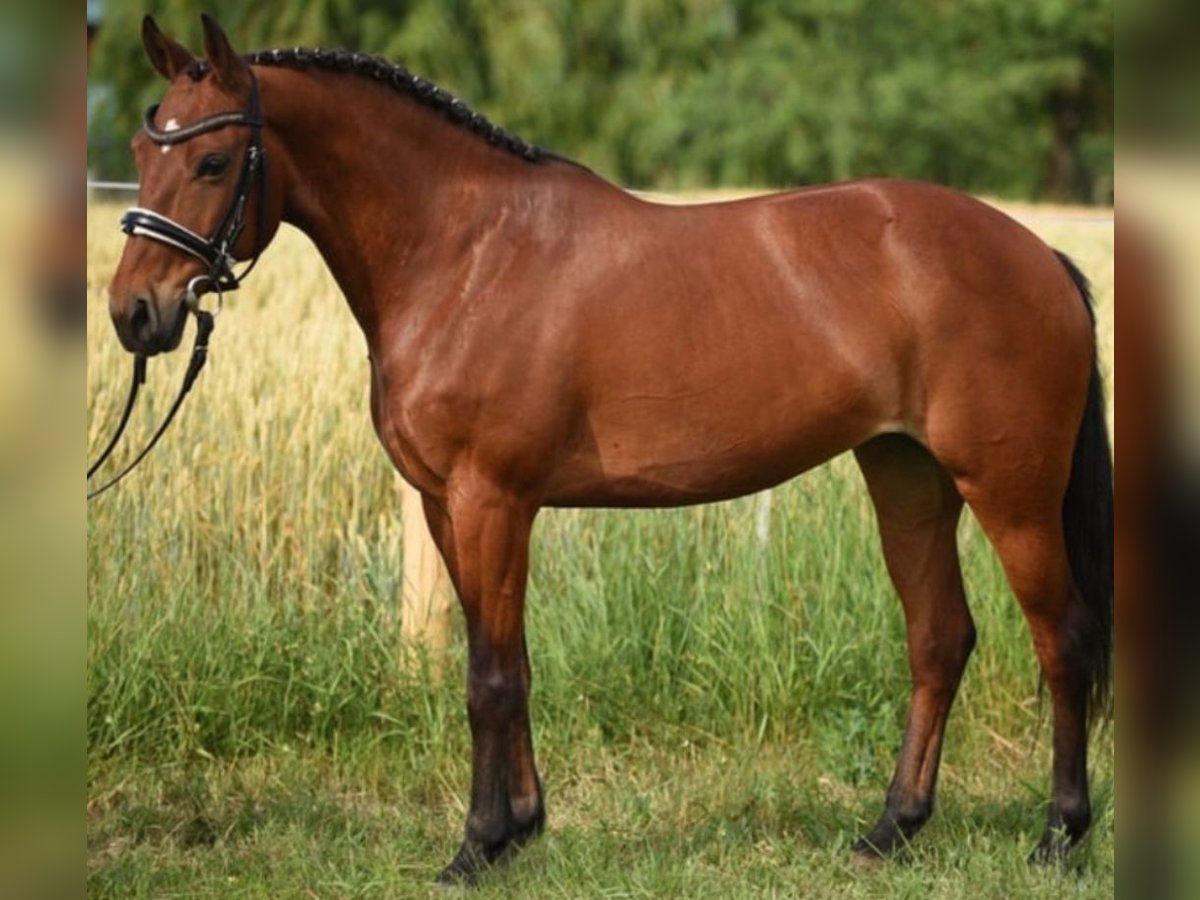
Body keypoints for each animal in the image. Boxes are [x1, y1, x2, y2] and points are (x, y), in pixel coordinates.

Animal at [105, 15, 1113, 888]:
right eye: (141, 155)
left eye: (211, 159)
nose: (134, 315)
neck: (464, 254)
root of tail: (1043, 259)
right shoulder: (446, 505)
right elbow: (508, 661)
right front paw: (520, 828)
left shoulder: (492, 499)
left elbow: (489, 676)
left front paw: (476, 847)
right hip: (907, 475)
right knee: (939, 638)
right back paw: (889, 831)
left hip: (1011, 491)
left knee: (1060, 639)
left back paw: (1058, 836)